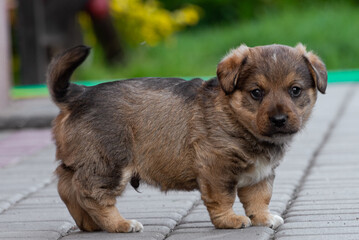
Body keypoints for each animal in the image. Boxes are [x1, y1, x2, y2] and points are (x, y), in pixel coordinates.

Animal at [47, 43, 330, 232]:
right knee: (91, 194)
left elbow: (260, 198)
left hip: (82, 160)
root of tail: (79, 94)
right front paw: (230, 220)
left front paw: (263, 218)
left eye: (295, 90)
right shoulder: (217, 167)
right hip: (109, 163)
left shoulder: (260, 174)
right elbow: (224, 198)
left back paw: (89, 224)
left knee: (66, 186)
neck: (235, 117)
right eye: (256, 93)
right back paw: (119, 224)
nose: (279, 120)